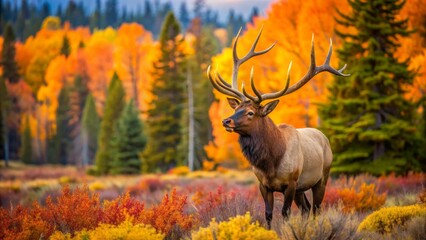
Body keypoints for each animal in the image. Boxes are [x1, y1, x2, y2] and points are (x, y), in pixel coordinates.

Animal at [207, 26, 350, 229]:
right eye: (236, 108)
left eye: (250, 113)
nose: (226, 121)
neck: (271, 162)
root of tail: (324, 137)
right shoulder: (264, 185)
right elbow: (268, 214)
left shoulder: (290, 182)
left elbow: (285, 213)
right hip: (301, 187)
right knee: (306, 208)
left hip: (322, 177)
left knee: (316, 208)